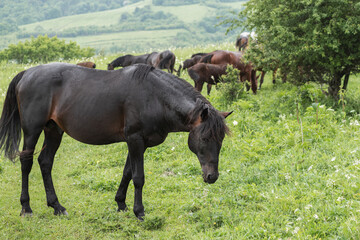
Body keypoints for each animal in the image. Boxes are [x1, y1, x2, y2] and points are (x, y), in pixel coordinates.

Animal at [0, 62, 231, 220]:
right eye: (205, 137)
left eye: (221, 140)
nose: (212, 176)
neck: (155, 96)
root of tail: (26, 74)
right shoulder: (135, 139)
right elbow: (138, 177)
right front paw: (139, 212)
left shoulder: (138, 143)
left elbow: (127, 172)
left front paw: (121, 204)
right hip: (32, 131)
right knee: (26, 163)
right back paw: (26, 208)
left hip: (54, 130)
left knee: (45, 162)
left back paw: (57, 206)